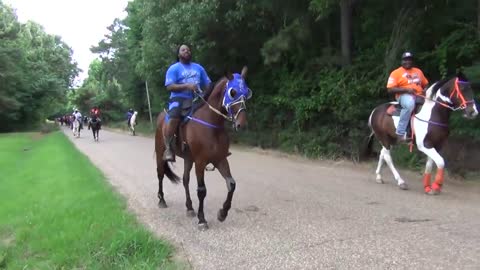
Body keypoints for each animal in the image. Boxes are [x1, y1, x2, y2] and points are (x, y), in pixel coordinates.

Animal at [155, 67, 253, 230]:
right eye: (232, 92)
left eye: (247, 92)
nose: (242, 124)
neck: (212, 125)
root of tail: (162, 117)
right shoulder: (200, 162)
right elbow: (202, 190)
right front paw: (202, 220)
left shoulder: (220, 159)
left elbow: (231, 184)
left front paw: (222, 213)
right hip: (160, 153)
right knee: (161, 174)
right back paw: (162, 200)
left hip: (188, 159)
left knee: (185, 180)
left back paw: (189, 208)